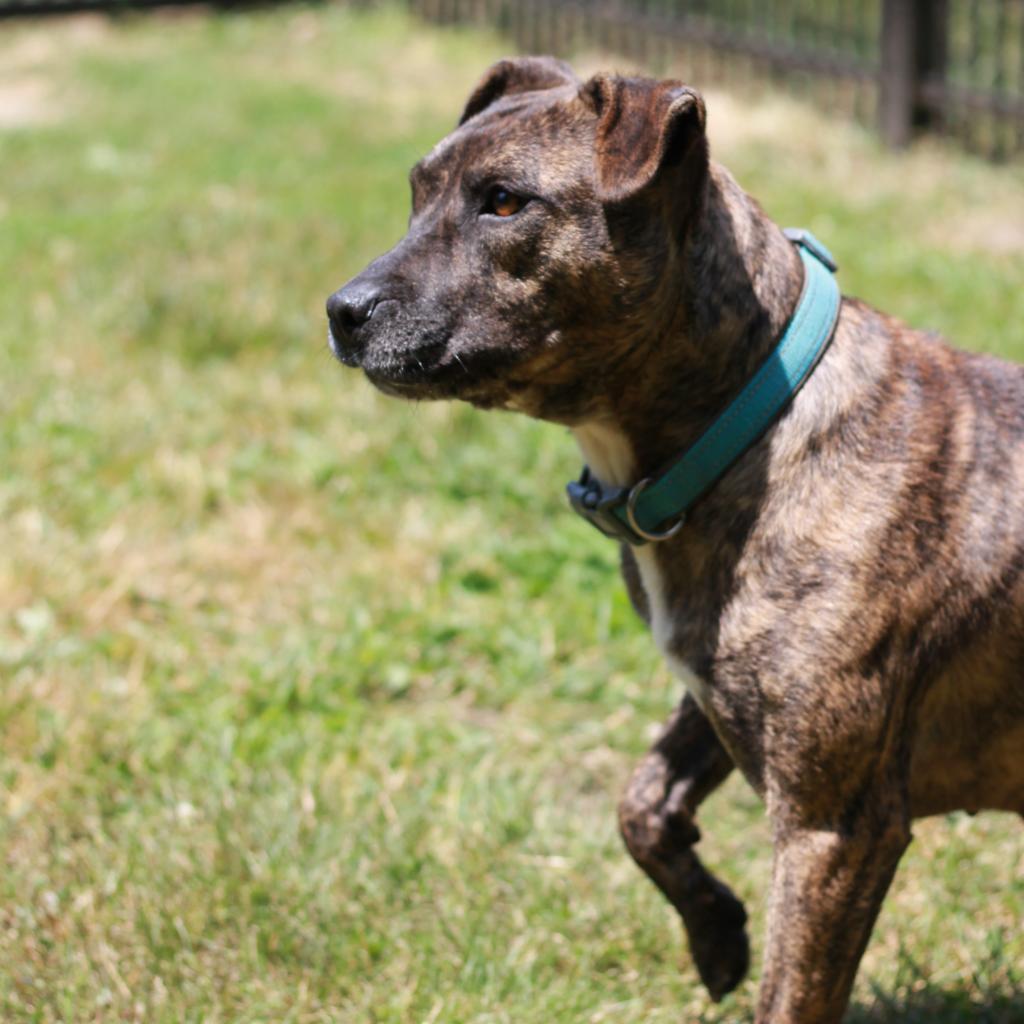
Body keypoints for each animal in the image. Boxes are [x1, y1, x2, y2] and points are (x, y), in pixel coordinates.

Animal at [325, 58, 1024, 1024]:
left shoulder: (833, 827)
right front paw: (717, 932)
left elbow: (792, 993)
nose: (341, 311)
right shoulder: (715, 688)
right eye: (416, 193)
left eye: (503, 202)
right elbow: (641, 805)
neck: (753, 422)